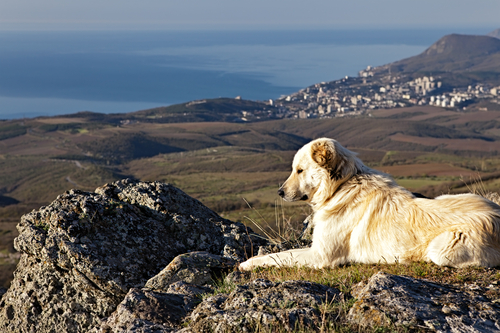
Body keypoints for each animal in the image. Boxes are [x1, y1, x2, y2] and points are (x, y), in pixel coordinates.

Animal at [239, 137, 500, 270]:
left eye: (300, 170)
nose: (280, 192)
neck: (342, 186)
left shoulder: (320, 255)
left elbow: (280, 256)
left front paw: (249, 263)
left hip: (443, 248)